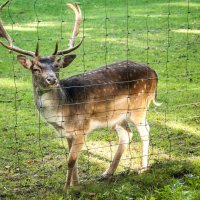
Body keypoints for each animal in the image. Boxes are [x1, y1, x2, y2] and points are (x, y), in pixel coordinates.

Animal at [0, 0, 159, 189]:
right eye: (35, 69)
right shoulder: (68, 134)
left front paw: (67, 189)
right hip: (117, 116)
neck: (63, 111)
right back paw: (107, 173)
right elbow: (72, 161)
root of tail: (154, 73)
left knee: (145, 131)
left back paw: (143, 167)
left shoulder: (82, 128)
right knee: (126, 134)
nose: (52, 79)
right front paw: (75, 185)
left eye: (57, 66)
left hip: (139, 105)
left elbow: (70, 160)